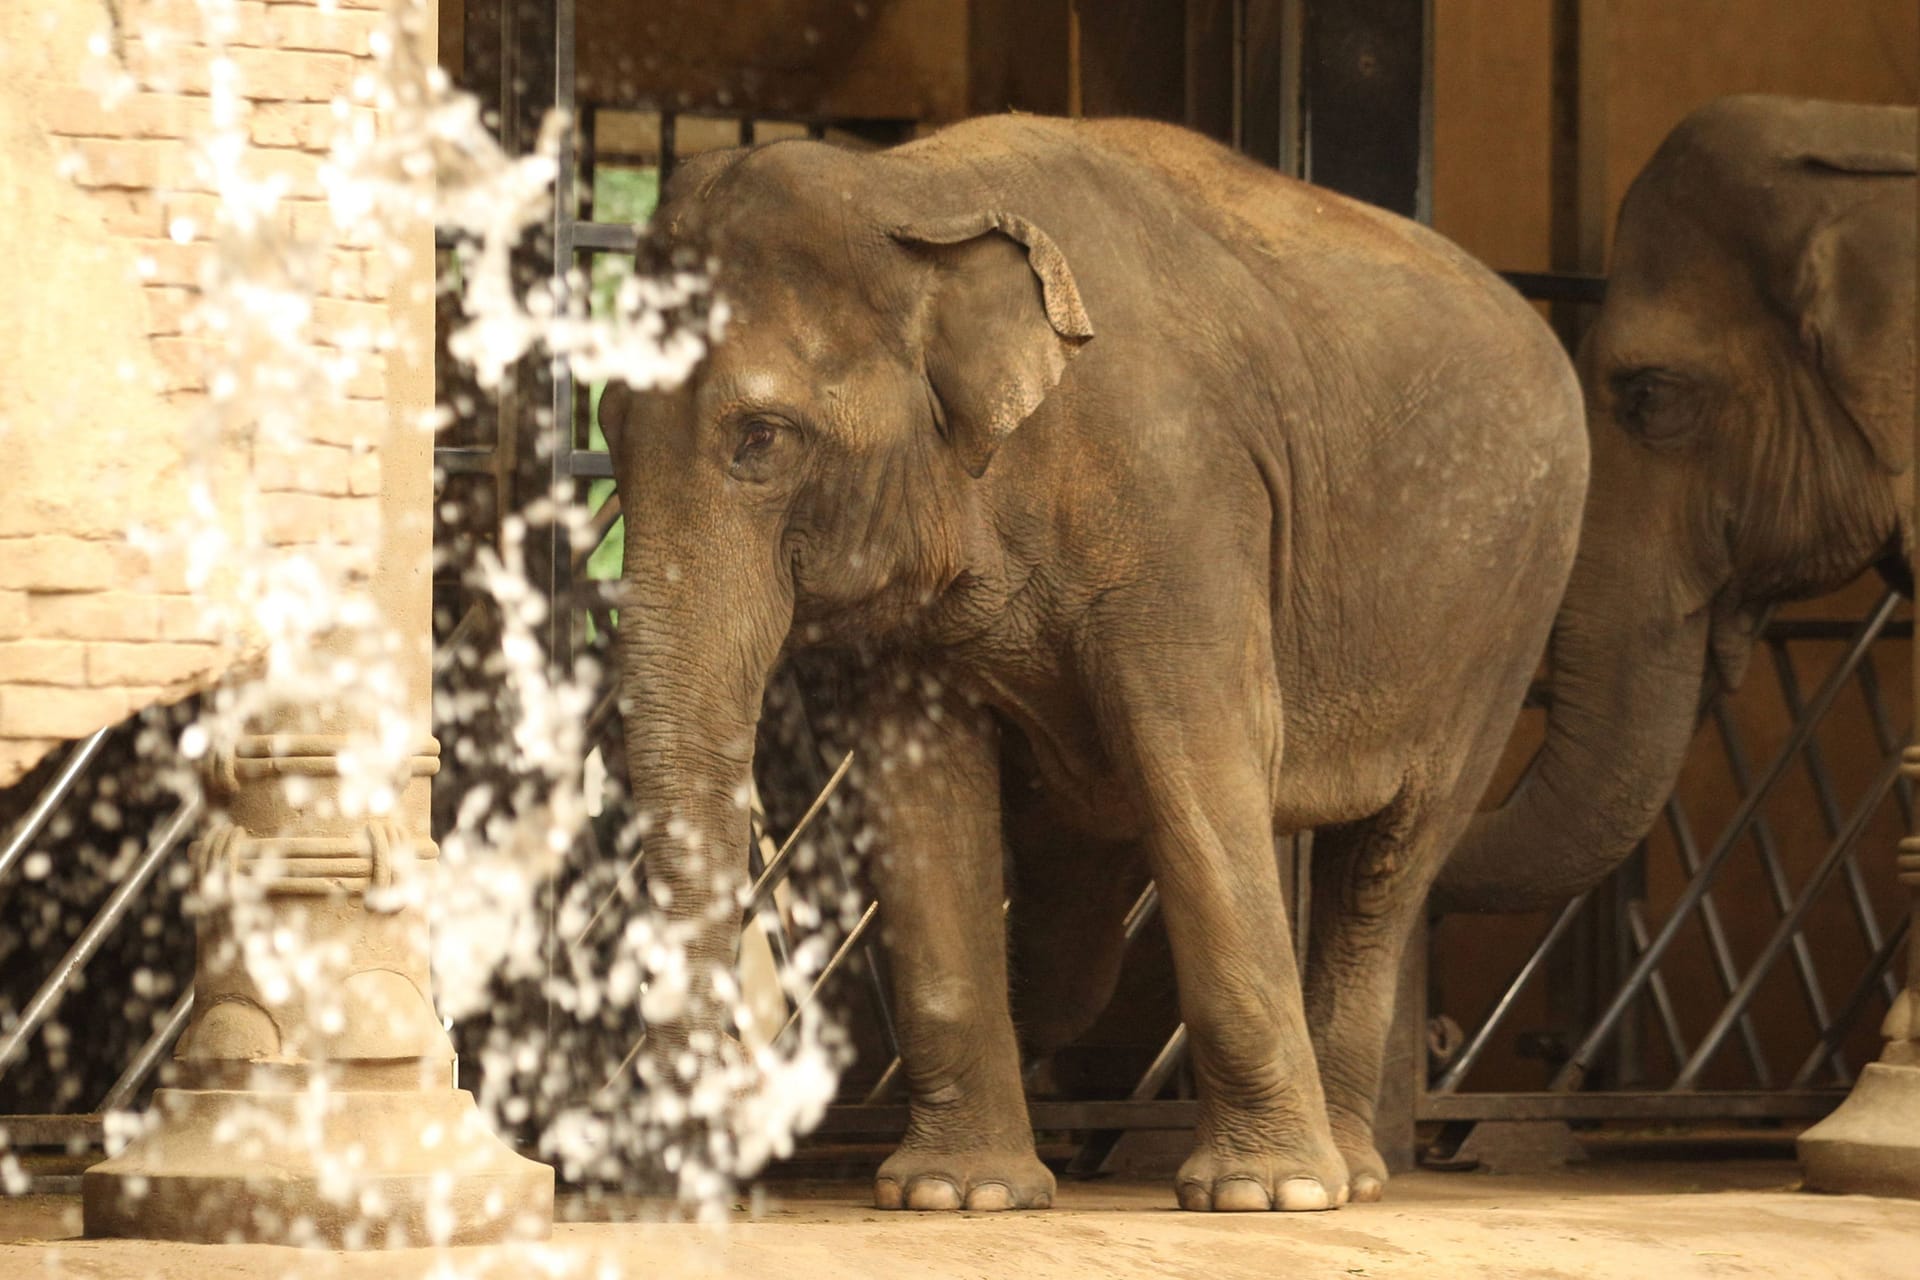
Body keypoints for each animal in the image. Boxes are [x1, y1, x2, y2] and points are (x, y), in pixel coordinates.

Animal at [602, 115, 1589, 1220]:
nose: (689, 1187)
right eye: (605, 430)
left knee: (1387, 865)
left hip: (1506, 613)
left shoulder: (1186, 500)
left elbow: (1200, 769)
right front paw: (956, 1194)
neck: (908, 190)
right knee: (1078, 908)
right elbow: (922, 799)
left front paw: (1265, 1196)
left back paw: (1350, 1173)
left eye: (760, 438)